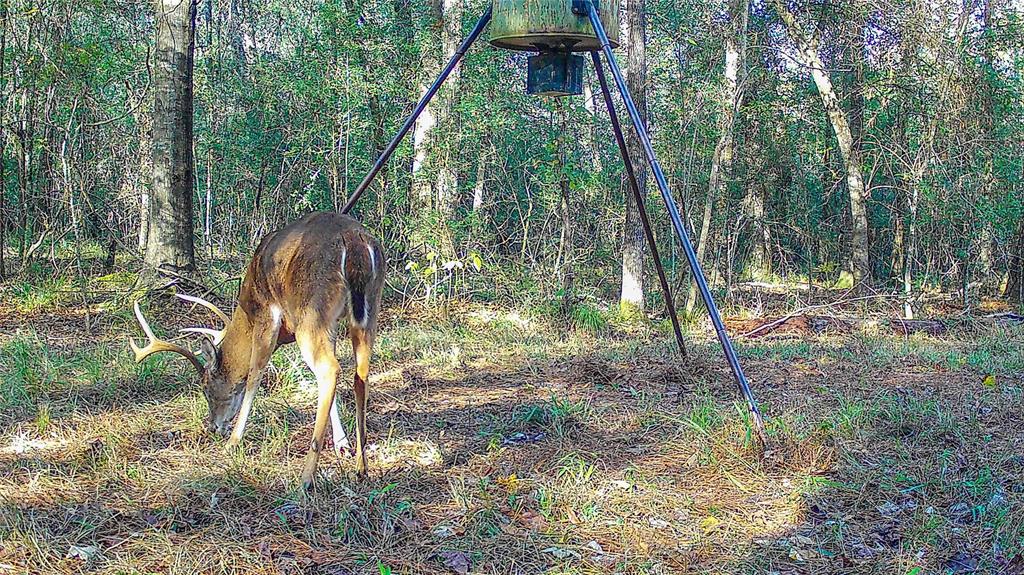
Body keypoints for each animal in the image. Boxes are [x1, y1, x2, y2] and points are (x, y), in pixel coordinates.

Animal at [128, 210, 385, 482]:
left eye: (205, 388)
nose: (213, 427)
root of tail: (354, 243)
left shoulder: (266, 313)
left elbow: (254, 374)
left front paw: (233, 441)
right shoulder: (331, 324)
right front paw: (341, 443)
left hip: (311, 312)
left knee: (329, 370)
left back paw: (306, 478)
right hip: (368, 309)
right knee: (360, 373)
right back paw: (361, 467)